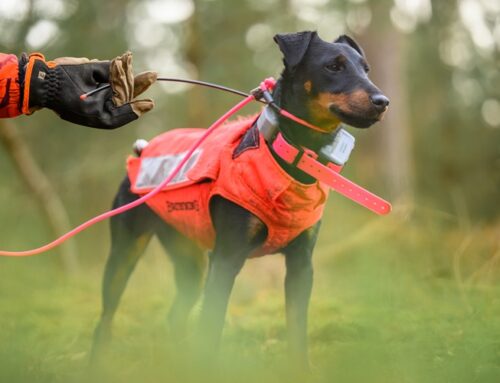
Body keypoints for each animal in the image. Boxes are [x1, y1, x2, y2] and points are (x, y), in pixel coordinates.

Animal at [91, 30, 386, 368]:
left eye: (366, 69)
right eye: (333, 66)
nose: (382, 102)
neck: (291, 156)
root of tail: (142, 150)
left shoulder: (301, 265)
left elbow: (297, 331)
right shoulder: (226, 258)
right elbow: (211, 328)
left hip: (189, 260)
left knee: (175, 316)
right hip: (126, 248)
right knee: (106, 317)